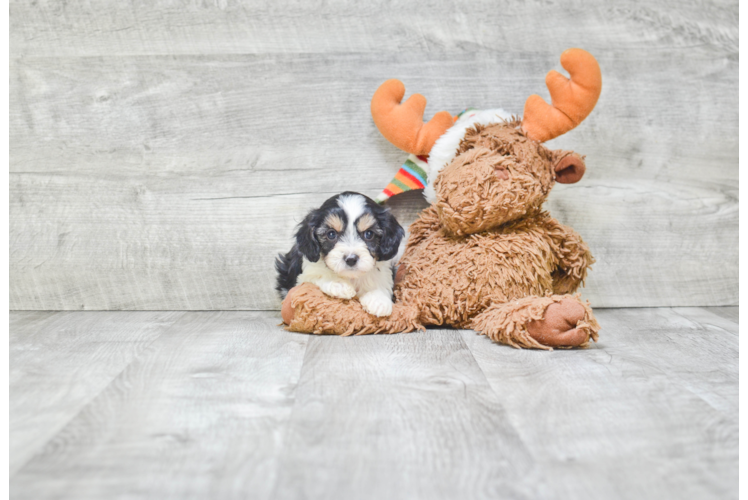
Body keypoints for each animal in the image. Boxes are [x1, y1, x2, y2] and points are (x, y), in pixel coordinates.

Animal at [274, 191, 404, 316]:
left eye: (369, 234)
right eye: (331, 234)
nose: (351, 259)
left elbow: (380, 280)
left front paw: (378, 300)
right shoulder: (303, 277)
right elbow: (318, 274)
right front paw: (338, 284)